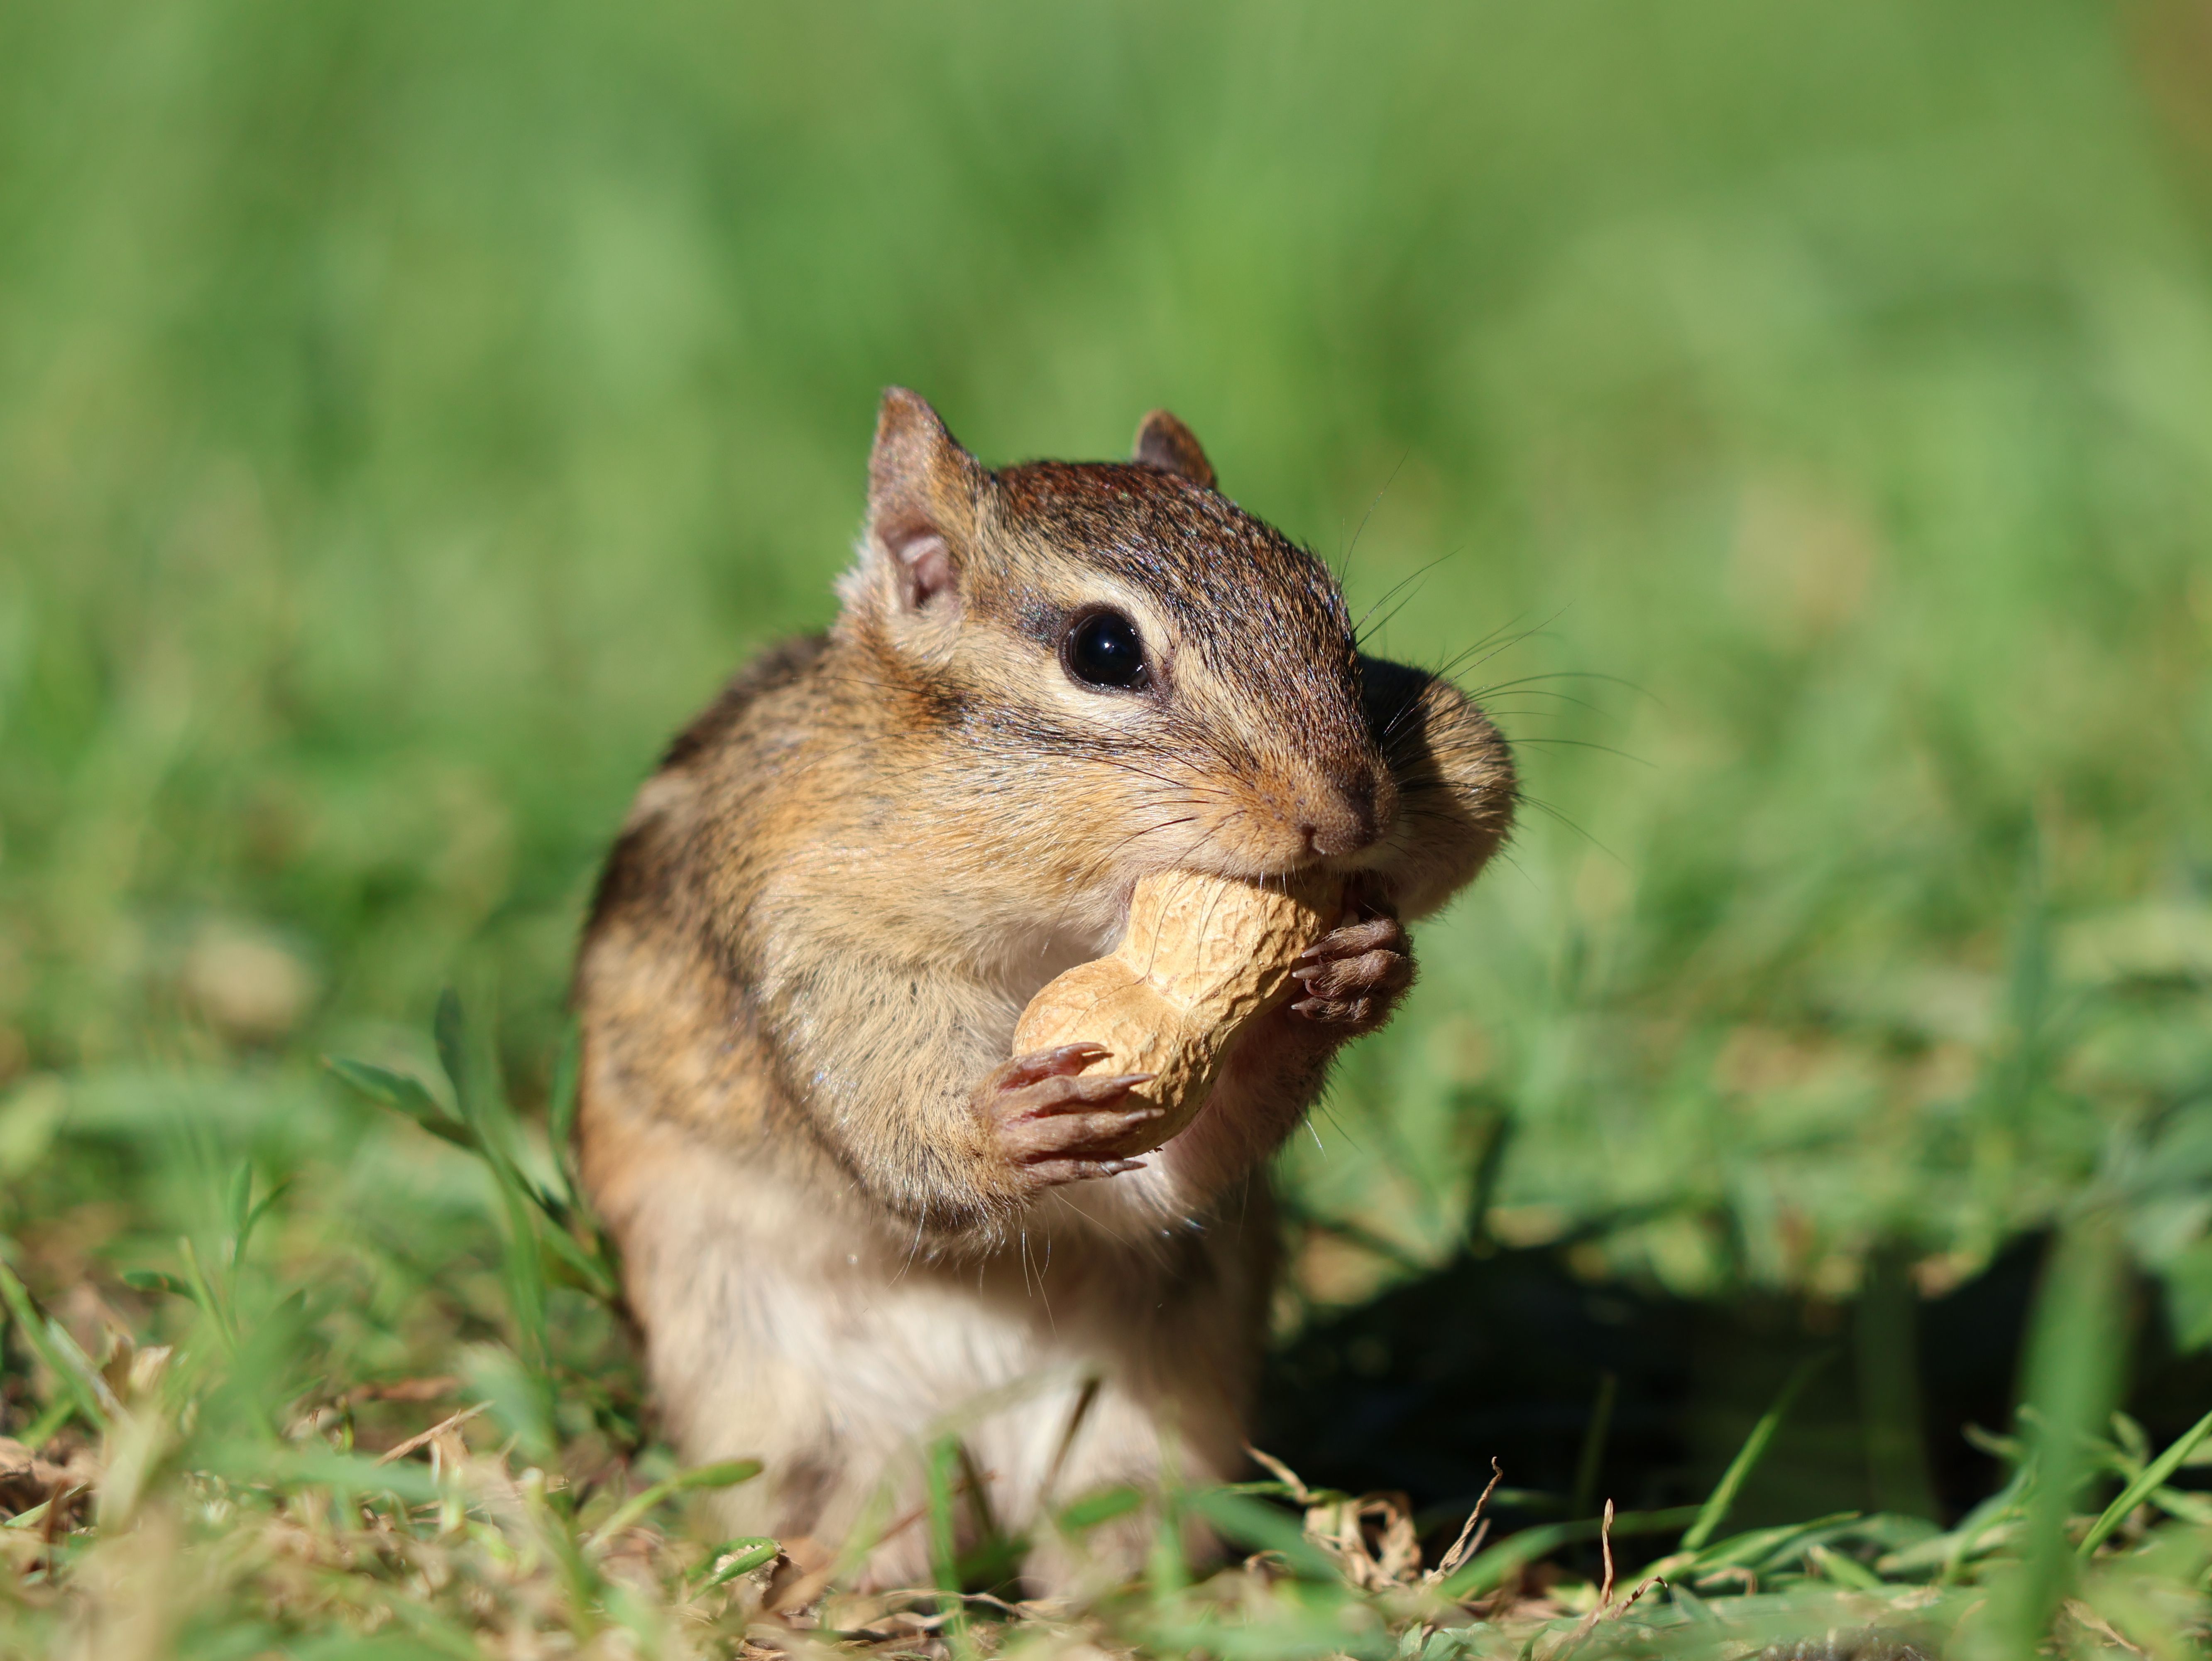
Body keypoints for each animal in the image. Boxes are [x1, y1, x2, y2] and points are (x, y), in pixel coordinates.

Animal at [572, 391, 1515, 1590]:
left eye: (1331, 615)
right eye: (1102, 649)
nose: (1353, 813)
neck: (1057, 929)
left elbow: (1175, 1178)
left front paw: (1354, 975)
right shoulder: (800, 934)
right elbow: (881, 1109)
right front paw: (997, 1129)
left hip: (1141, 1432)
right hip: (797, 1421)